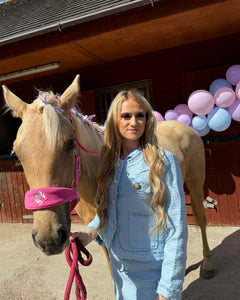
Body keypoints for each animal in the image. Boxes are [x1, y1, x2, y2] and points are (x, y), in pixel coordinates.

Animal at [2, 74, 214, 278]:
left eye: (70, 143)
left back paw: (207, 265)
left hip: (195, 183)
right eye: (17, 152)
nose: (49, 239)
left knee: (200, 219)